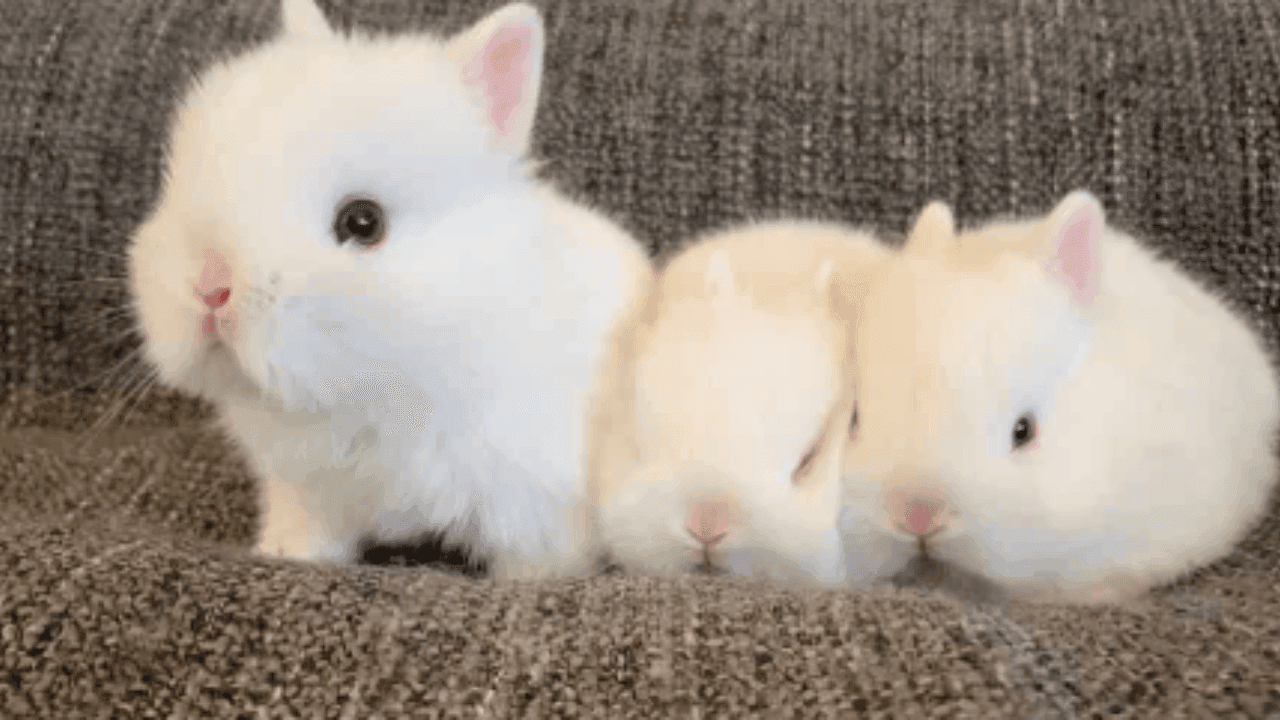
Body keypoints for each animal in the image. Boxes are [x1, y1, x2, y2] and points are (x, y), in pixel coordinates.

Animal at [126, 0, 655, 581]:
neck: (383, 389)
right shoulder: (306, 488)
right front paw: (286, 553)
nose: (210, 286)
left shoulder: (538, 504)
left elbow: (536, 560)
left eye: (363, 222)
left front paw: (535, 584)